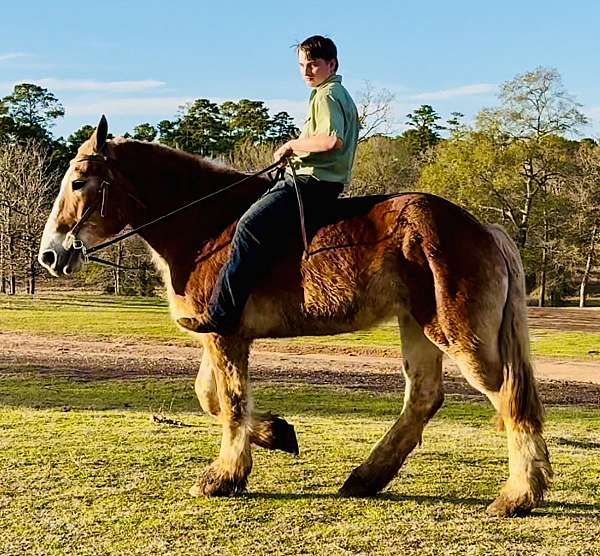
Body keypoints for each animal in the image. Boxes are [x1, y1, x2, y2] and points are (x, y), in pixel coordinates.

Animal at [38, 116, 552, 516]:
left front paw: (224, 477)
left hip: (458, 336)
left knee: (512, 400)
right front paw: (277, 433)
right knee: (424, 398)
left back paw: (518, 497)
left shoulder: (226, 336)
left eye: (79, 182)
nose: (50, 255)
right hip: (418, 327)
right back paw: (366, 478)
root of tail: (481, 228)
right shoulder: (220, 334)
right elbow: (210, 397)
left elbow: (230, 403)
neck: (209, 227)